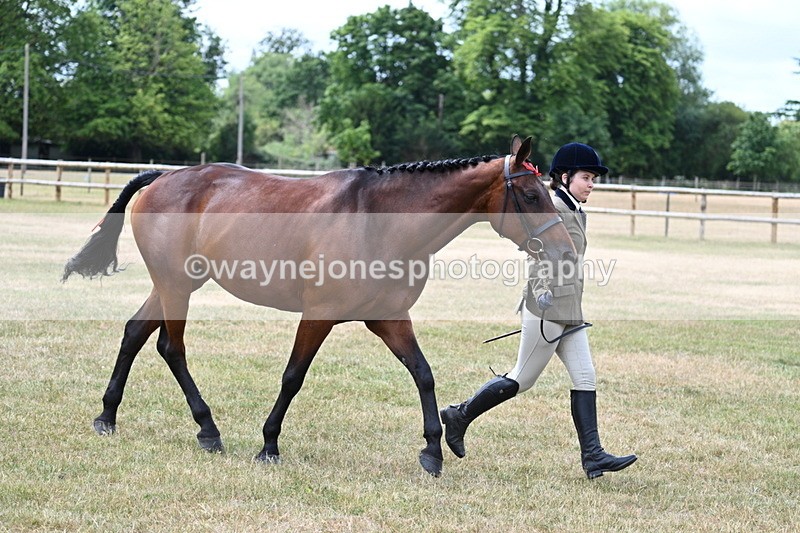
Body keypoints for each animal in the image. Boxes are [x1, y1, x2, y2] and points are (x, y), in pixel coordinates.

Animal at [62, 135, 575, 476]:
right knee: (171, 347)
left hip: (174, 283)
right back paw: (207, 429)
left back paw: (107, 417)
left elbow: (423, 374)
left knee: (134, 332)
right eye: (532, 194)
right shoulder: (319, 315)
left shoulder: (389, 319)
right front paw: (269, 445)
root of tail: (164, 176)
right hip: (176, 286)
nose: (565, 251)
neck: (378, 221)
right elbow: (294, 377)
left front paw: (433, 451)